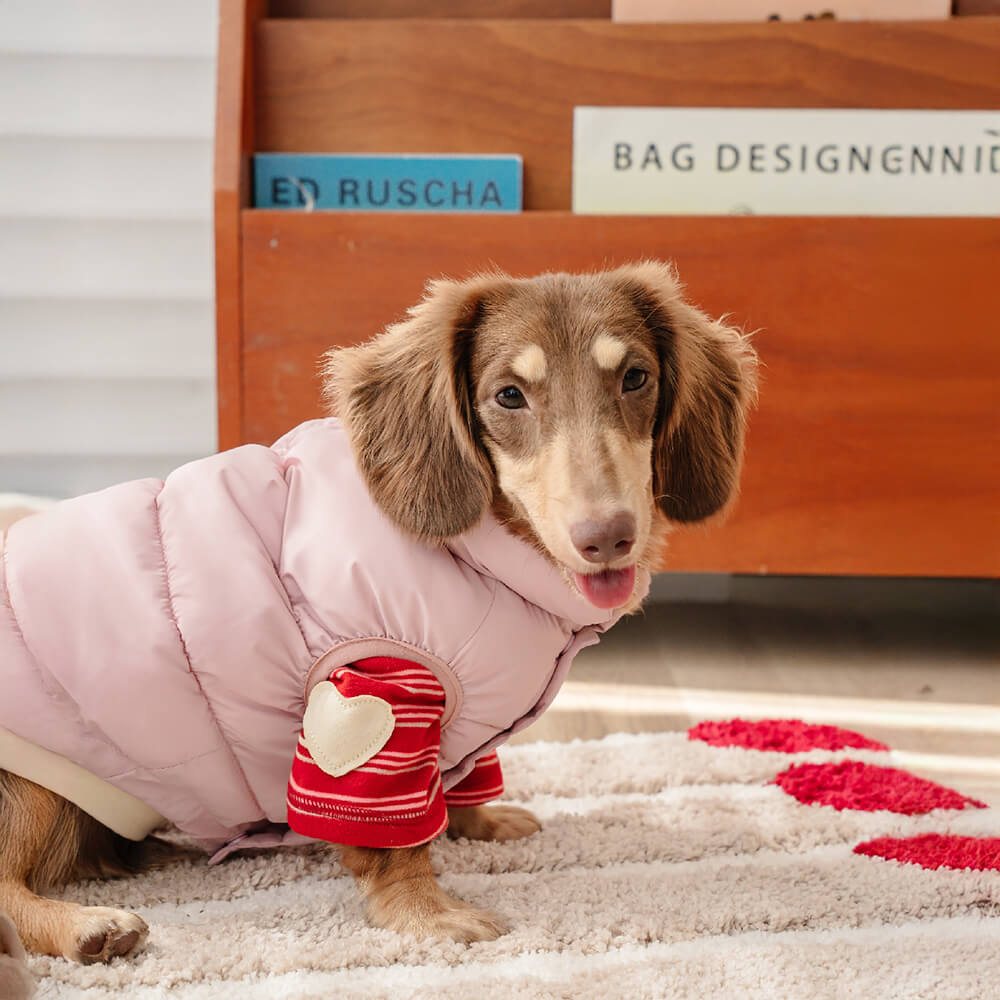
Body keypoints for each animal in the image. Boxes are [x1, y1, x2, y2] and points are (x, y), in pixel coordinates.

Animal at [0, 262, 756, 964]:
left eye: (635, 378)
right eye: (508, 395)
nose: (608, 537)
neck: (482, 549)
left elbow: (458, 781)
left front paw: (479, 822)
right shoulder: (376, 691)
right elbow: (391, 836)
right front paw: (427, 912)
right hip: (36, 785)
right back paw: (87, 925)